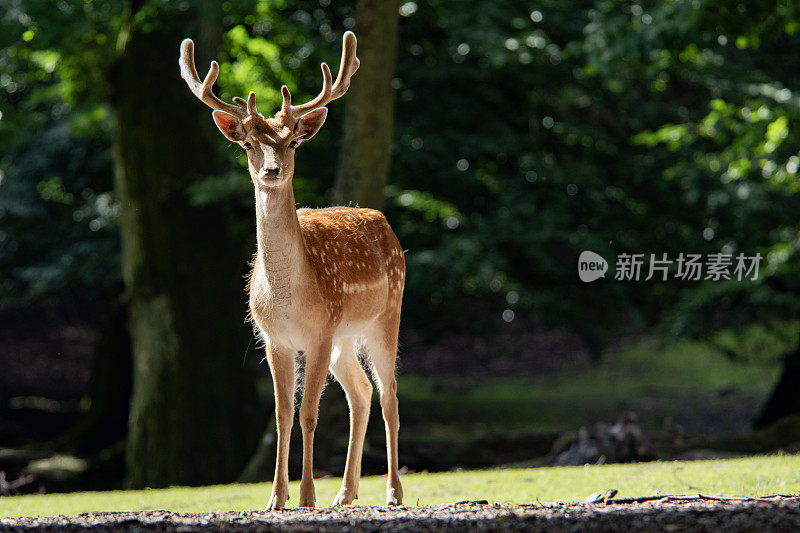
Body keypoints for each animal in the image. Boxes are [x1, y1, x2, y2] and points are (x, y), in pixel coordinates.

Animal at [180, 32, 406, 508]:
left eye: (293, 143)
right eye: (248, 144)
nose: (272, 169)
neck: (288, 297)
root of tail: (384, 223)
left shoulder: (319, 331)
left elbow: (308, 413)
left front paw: (304, 496)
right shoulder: (275, 339)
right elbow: (283, 415)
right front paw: (275, 497)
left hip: (385, 315)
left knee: (388, 394)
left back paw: (393, 492)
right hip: (344, 338)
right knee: (361, 392)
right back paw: (346, 494)